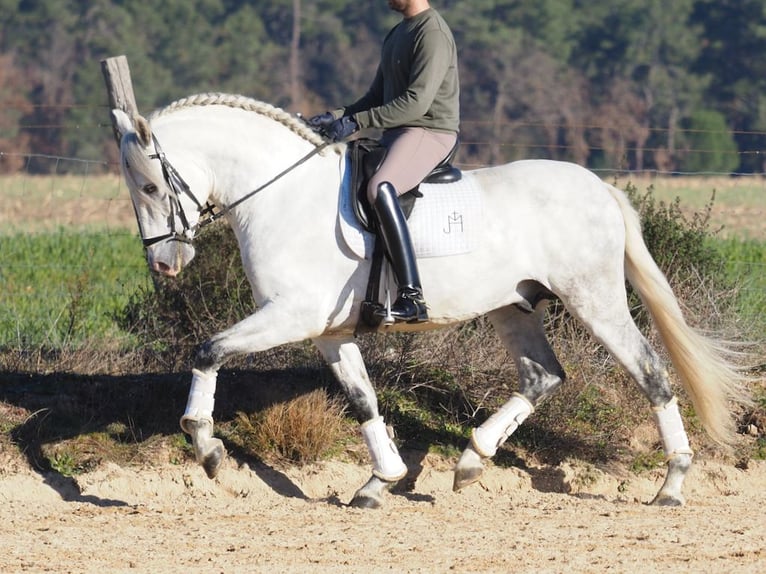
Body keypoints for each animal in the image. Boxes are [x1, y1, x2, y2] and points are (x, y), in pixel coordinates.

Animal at [114, 93, 752, 508]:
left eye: (149, 185)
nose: (164, 264)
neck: (283, 196)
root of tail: (599, 186)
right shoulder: (329, 332)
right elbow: (363, 400)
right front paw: (380, 481)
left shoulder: (289, 316)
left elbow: (208, 350)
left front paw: (207, 448)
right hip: (514, 307)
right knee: (543, 376)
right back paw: (471, 462)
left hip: (594, 299)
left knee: (649, 372)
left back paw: (672, 484)